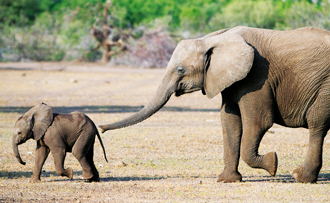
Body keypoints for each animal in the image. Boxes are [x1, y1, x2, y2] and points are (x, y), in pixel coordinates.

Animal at [100, 26, 330, 183]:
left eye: (181, 70)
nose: (101, 128)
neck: (211, 39)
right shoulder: (230, 78)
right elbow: (229, 122)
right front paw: (227, 180)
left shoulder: (257, 76)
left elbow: (259, 123)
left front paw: (272, 164)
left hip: (325, 85)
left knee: (317, 124)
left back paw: (299, 177)